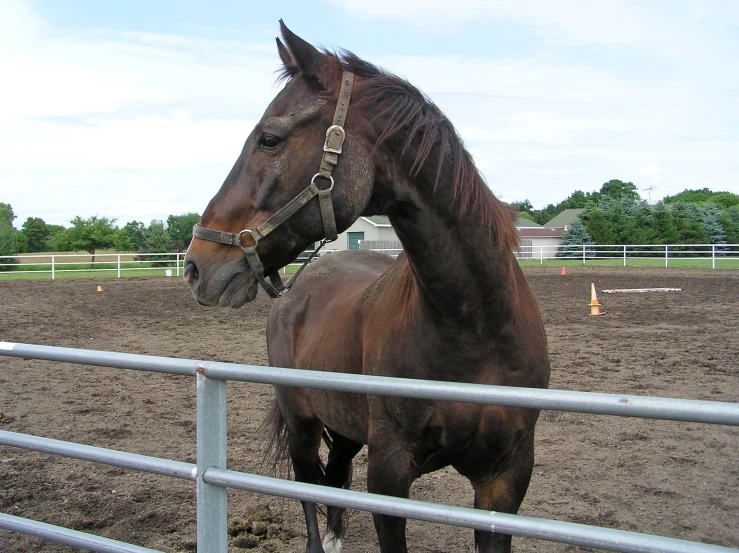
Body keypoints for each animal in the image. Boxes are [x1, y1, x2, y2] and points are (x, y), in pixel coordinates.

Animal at [186, 21, 548, 552]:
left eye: (269, 139)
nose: (196, 265)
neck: (475, 327)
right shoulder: (390, 476)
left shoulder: (504, 481)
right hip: (301, 422)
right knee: (309, 484)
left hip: (346, 426)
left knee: (335, 478)